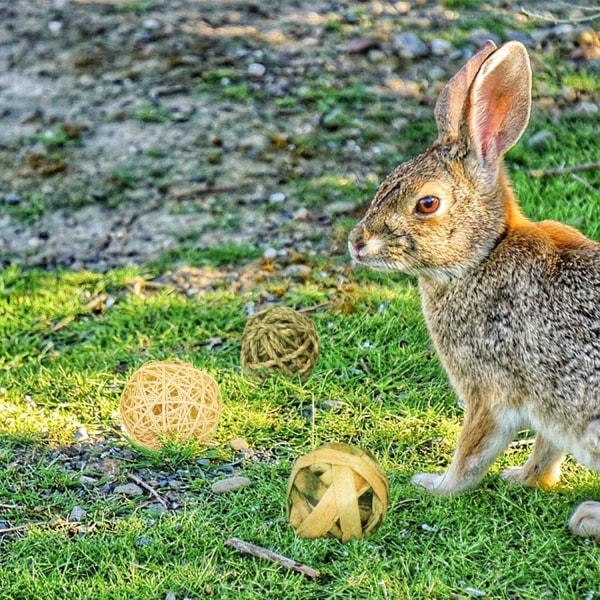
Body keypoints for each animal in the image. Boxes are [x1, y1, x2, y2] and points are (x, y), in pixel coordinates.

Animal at [346, 39, 600, 540]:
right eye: (387, 181)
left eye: (427, 203)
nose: (357, 242)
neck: (483, 255)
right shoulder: (549, 403)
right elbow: (545, 448)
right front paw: (522, 478)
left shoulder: (489, 391)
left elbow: (472, 451)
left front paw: (435, 486)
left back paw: (587, 518)